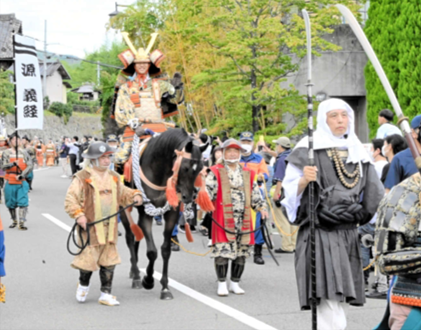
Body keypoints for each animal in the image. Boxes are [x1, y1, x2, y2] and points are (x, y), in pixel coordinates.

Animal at [119, 128, 204, 300]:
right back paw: (136, 275)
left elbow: (165, 250)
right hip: (124, 206)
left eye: (200, 169)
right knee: (130, 237)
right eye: (185, 167)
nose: (188, 197)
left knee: (136, 237)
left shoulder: (172, 212)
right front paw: (148, 279)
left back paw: (133, 270)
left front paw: (165, 287)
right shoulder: (146, 212)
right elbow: (152, 252)